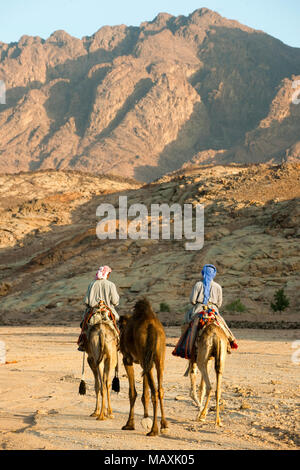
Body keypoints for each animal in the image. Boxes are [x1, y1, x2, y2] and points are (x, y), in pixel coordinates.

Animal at [118, 298, 168, 436]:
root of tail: (152, 327)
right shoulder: (145, 361)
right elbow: (145, 393)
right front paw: (146, 418)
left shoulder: (127, 359)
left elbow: (132, 392)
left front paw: (129, 424)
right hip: (158, 358)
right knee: (160, 390)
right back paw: (164, 425)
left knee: (155, 391)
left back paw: (154, 430)